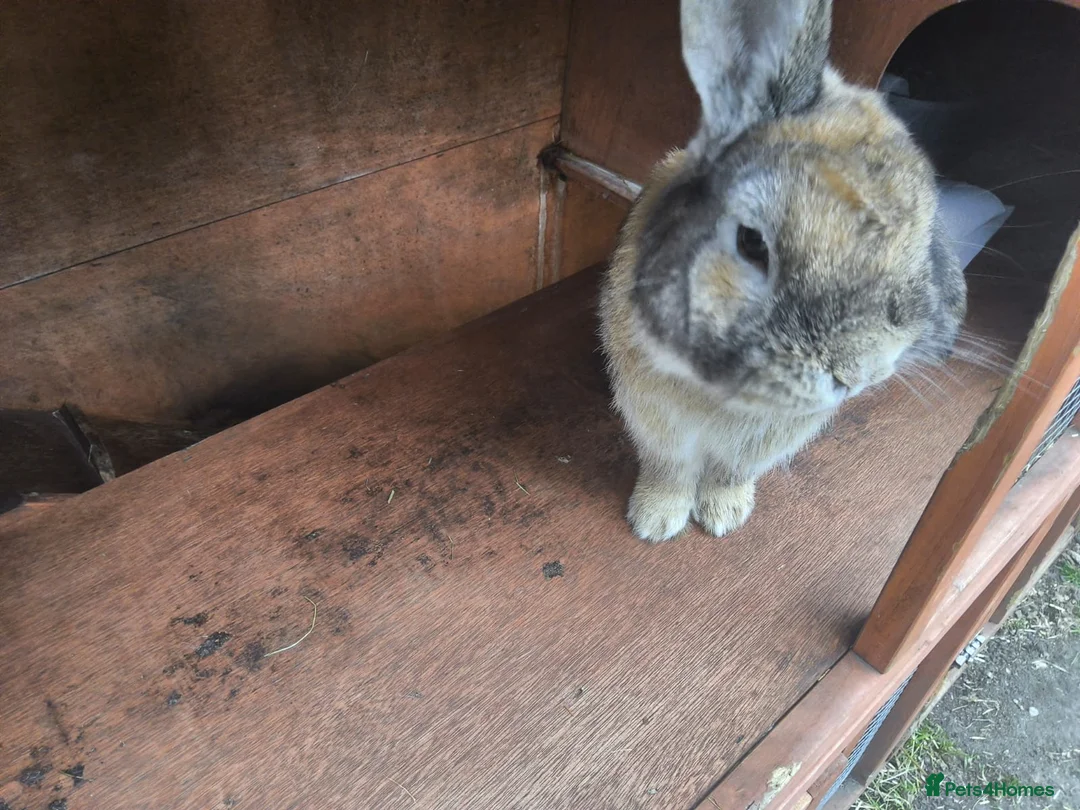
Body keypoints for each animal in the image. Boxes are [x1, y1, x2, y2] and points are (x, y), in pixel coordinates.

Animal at [599, 0, 966, 543]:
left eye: (920, 238)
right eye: (751, 243)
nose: (856, 373)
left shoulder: (758, 443)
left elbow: (729, 471)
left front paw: (724, 516)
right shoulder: (657, 419)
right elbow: (669, 468)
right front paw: (654, 521)